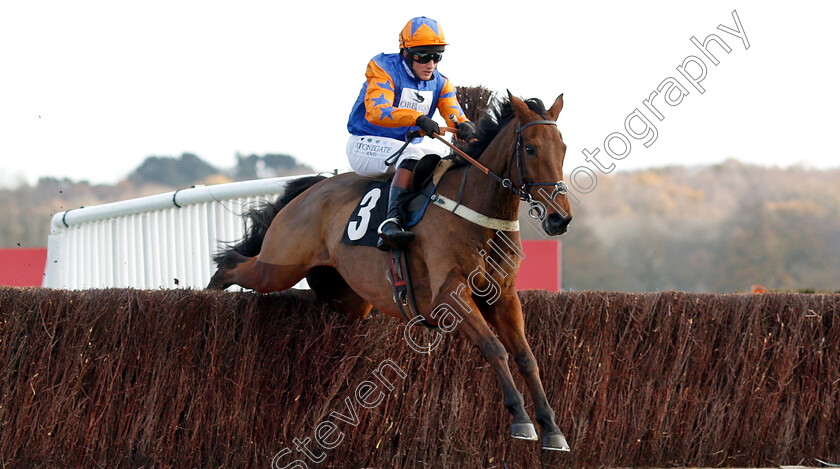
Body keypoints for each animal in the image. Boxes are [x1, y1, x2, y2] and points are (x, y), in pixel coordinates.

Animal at [209, 91, 576, 450]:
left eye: (563, 148)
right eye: (530, 148)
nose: (559, 218)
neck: (478, 214)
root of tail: (312, 190)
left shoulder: (504, 297)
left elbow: (526, 357)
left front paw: (552, 428)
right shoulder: (451, 296)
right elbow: (495, 349)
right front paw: (522, 420)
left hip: (348, 297)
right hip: (278, 265)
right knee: (233, 264)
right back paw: (209, 292)